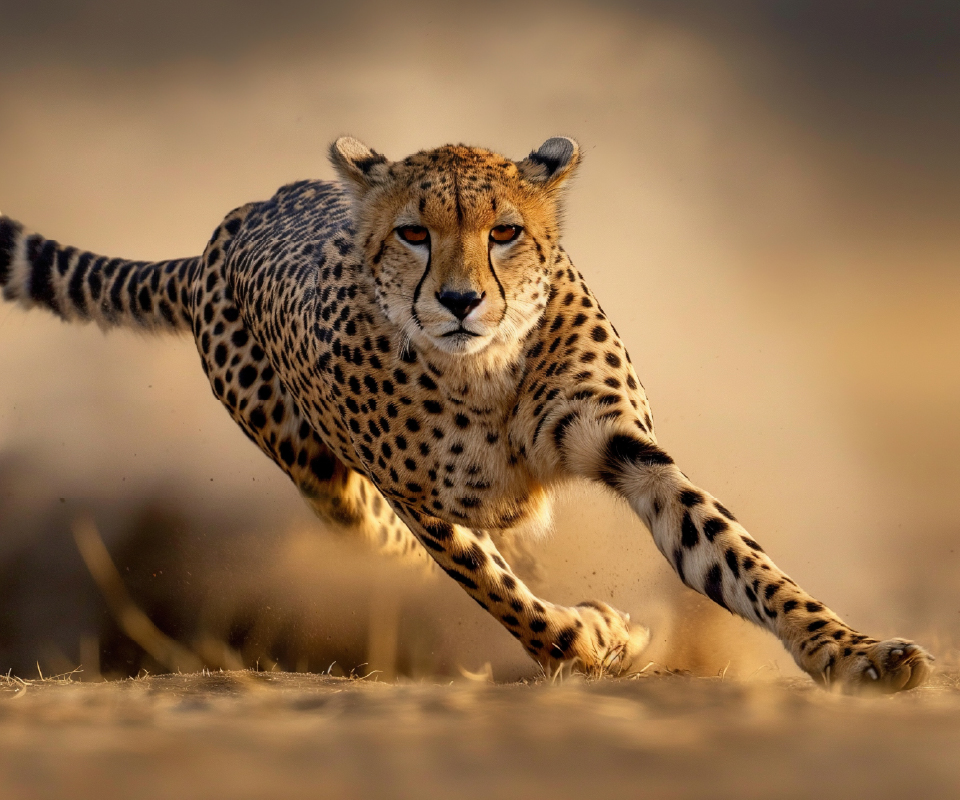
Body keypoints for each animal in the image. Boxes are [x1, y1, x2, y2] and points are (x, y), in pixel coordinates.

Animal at [0, 136, 933, 693]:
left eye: (506, 232)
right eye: (414, 233)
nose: (458, 300)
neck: (487, 370)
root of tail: (228, 227)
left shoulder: (629, 449)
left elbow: (742, 563)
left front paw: (853, 655)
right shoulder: (429, 506)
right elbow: (505, 597)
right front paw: (591, 637)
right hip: (326, 481)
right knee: (386, 537)